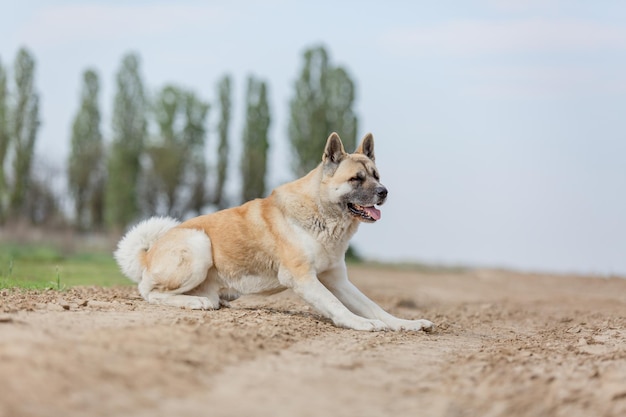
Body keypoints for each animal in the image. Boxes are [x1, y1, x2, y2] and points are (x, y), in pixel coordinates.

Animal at [114, 133, 432, 332]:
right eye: (356, 179)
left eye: (377, 176)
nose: (384, 192)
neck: (322, 215)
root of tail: (148, 254)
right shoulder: (302, 278)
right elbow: (337, 306)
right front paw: (362, 324)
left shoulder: (337, 280)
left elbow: (374, 306)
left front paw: (406, 324)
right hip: (198, 243)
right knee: (148, 291)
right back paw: (196, 302)